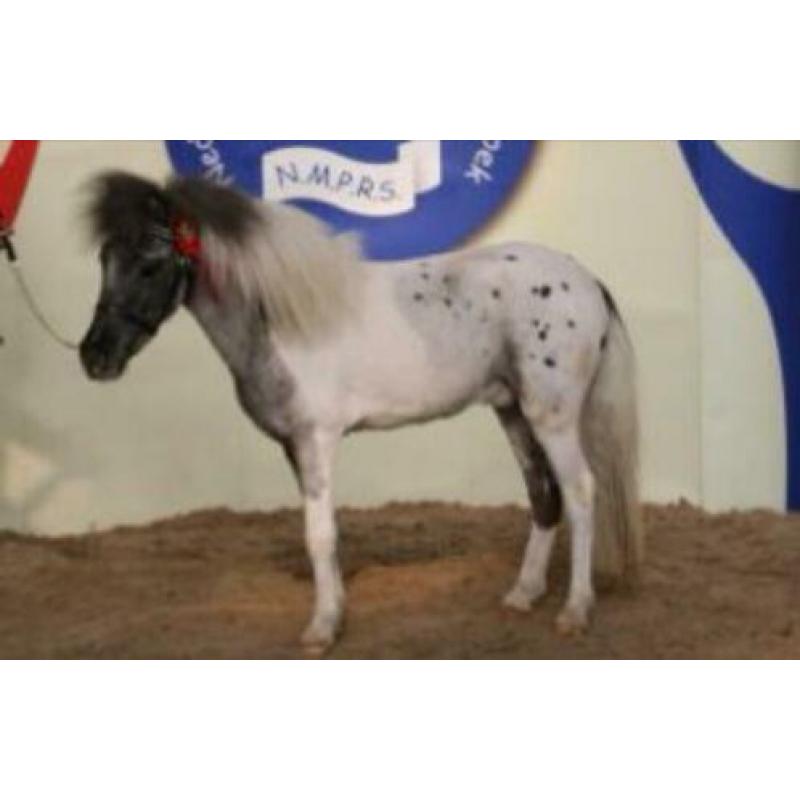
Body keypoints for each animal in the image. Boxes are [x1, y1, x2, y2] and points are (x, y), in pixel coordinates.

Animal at [79, 171, 644, 653]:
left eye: (151, 262)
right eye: (105, 259)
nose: (95, 357)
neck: (283, 320)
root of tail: (586, 280)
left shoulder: (316, 440)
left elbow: (318, 535)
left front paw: (322, 628)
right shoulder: (295, 447)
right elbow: (325, 535)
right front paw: (337, 612)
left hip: (553, 417)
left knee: (580, 492)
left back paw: (575, 611)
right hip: (513, 411)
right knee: (543, 495)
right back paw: (523, 594)